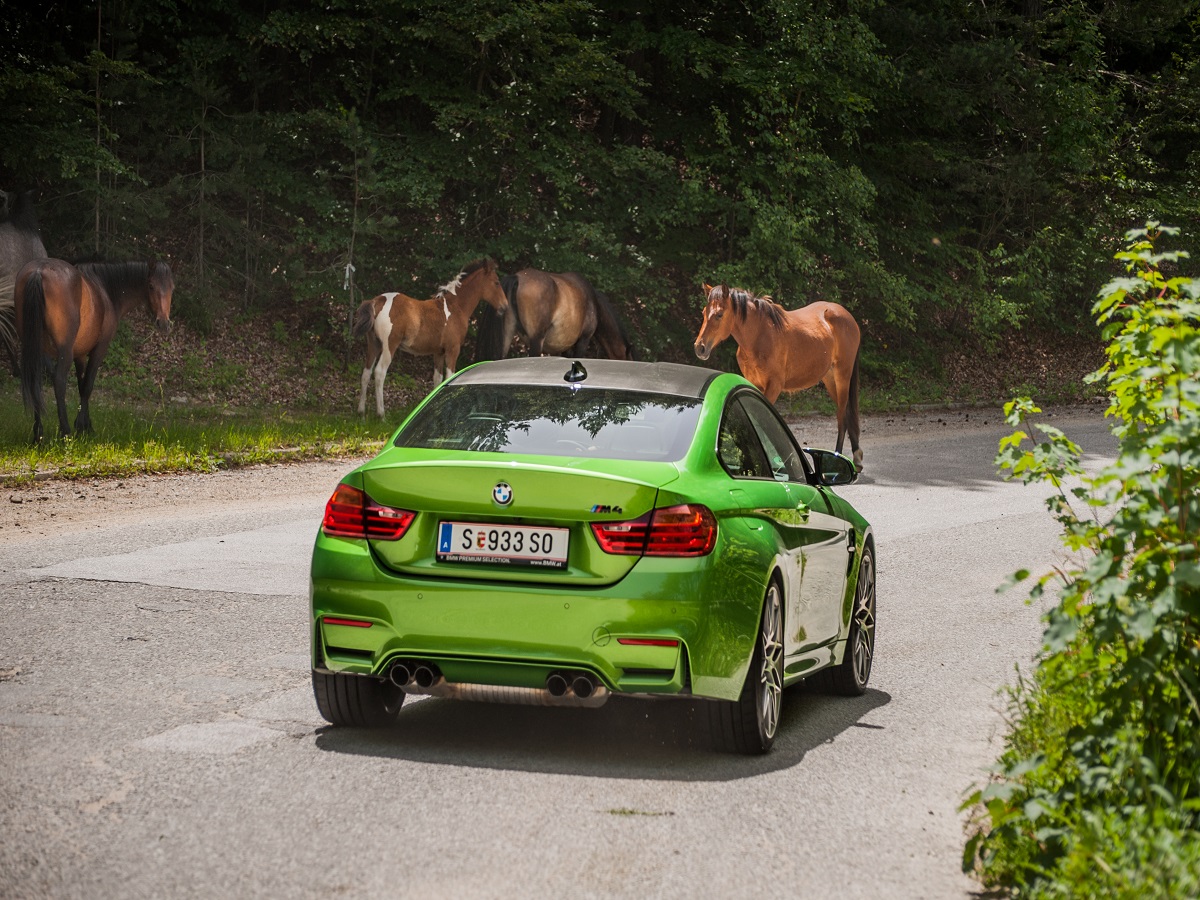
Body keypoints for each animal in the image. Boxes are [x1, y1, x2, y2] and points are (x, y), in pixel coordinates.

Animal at [17, 256, 175, 444]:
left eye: (172, 287)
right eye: (151, 286)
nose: (163, 323)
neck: (105, 292)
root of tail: (39, 271)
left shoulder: (79, 354)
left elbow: (81, 385)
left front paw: (85, 424)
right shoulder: (99, 350)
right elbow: (87, 386)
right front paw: (82, 426)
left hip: (34, 349)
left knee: (35, 383)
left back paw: (38, 434)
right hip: (64, 353)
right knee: (59, 382)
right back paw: (65, 432)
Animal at [352, 256, 508, 420]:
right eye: (497, 282)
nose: (505, 306)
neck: (455, 307)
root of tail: (377, 300)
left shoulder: (438, 352)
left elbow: (437, 380)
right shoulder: (452, 350)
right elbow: (449, 376)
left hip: (373, 344)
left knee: (366, 373)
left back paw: (361, 413)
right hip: (389, 346)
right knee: (379, 373)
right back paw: (381, 415)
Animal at [475, 271, 638, 362]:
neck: (594, 303)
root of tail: (518, 277)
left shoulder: (565, 347)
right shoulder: (583, 340)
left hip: (506, 335)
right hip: (537, 340)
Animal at [696, 283, 864, 468]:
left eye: (719, 314)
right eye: (703, 312)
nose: (700, 347)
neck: (759, 336)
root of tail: (847, 316)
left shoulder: (774, 386)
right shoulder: (754, 383)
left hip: (843, 375)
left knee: (842, 415)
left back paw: (837, 457)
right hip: (829, 378)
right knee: (846, 411)